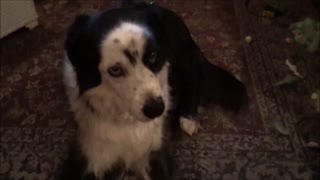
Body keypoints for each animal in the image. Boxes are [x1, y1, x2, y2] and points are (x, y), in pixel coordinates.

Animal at [60, 0, 250, 179]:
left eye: (152, 55)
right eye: (115, 70)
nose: (156, 110)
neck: (127, 122)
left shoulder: (155, 154)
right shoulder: (89, 155)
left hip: (184, 54)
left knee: (194, 78)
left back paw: (188, 118)